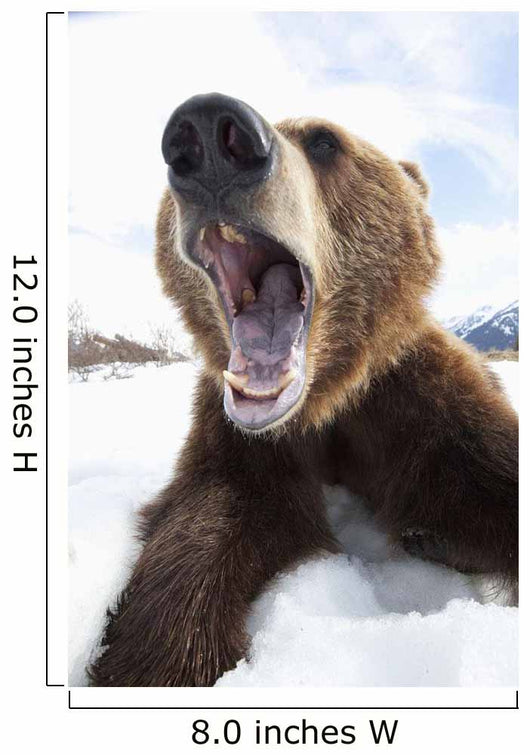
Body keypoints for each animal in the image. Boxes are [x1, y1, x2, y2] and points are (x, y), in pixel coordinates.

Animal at [89, 93, 518, 687]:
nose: (210, 134)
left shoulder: (413, 398)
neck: (323, 401)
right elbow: (209, 523)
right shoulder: (243, 436)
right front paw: (166, 657)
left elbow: (488, 471)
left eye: (324, 141)